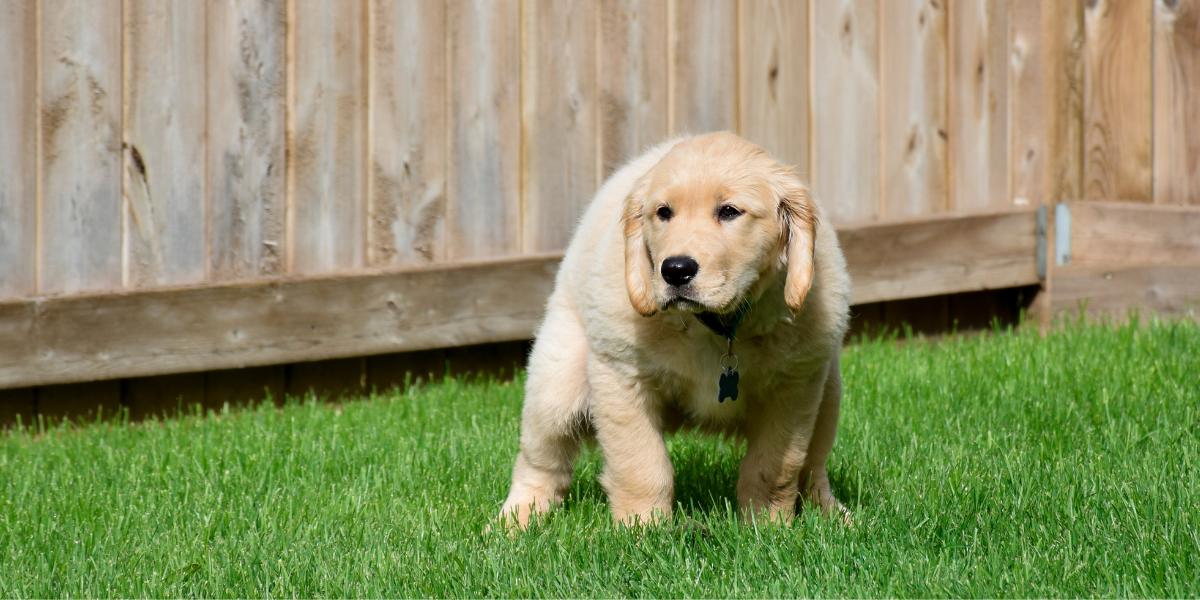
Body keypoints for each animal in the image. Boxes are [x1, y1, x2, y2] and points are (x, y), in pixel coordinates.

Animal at [496, 131, 854, 525]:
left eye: (729, 211)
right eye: (663, 213)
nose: (675, 270)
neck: (717, 327)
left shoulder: (795, 387)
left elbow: (774, 468)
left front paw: (769, 525)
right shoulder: (621, 377)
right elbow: (641, 466)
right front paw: (642, 527)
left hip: (829, 394)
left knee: (813, 468)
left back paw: (832, 515)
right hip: (556, 384)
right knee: (540, 461)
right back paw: (516, 521)